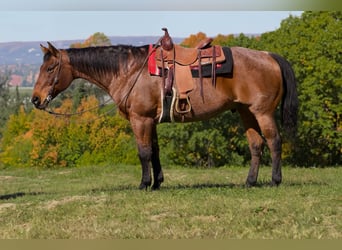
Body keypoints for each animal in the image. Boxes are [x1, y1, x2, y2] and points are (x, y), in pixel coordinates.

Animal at [32, 37, 300, 190]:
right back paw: (250, 182)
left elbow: (143, 152)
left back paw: (275, 180)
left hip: (262, 112)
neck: (130, 71)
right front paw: (157, 183)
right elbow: (155, 151)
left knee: (274, 142)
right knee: (256, 145)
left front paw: (144, 184)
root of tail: (269, 56)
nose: (35, 99)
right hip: (246, 112)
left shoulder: (140, 119)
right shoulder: (151, 120)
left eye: (51, 68)